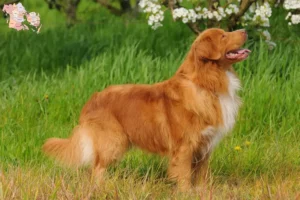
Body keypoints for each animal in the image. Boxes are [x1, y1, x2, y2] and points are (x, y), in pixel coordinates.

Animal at [43, 28, 251, 191]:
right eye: (223, 36)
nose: (245, 31)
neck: (206, 83)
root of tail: (93, 99)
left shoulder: (205, 146)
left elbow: (202, 176)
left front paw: (202, 192)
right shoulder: (185, 146)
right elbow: (184, 177)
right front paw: (186, 193)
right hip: (113, 142)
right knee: (97, 169)